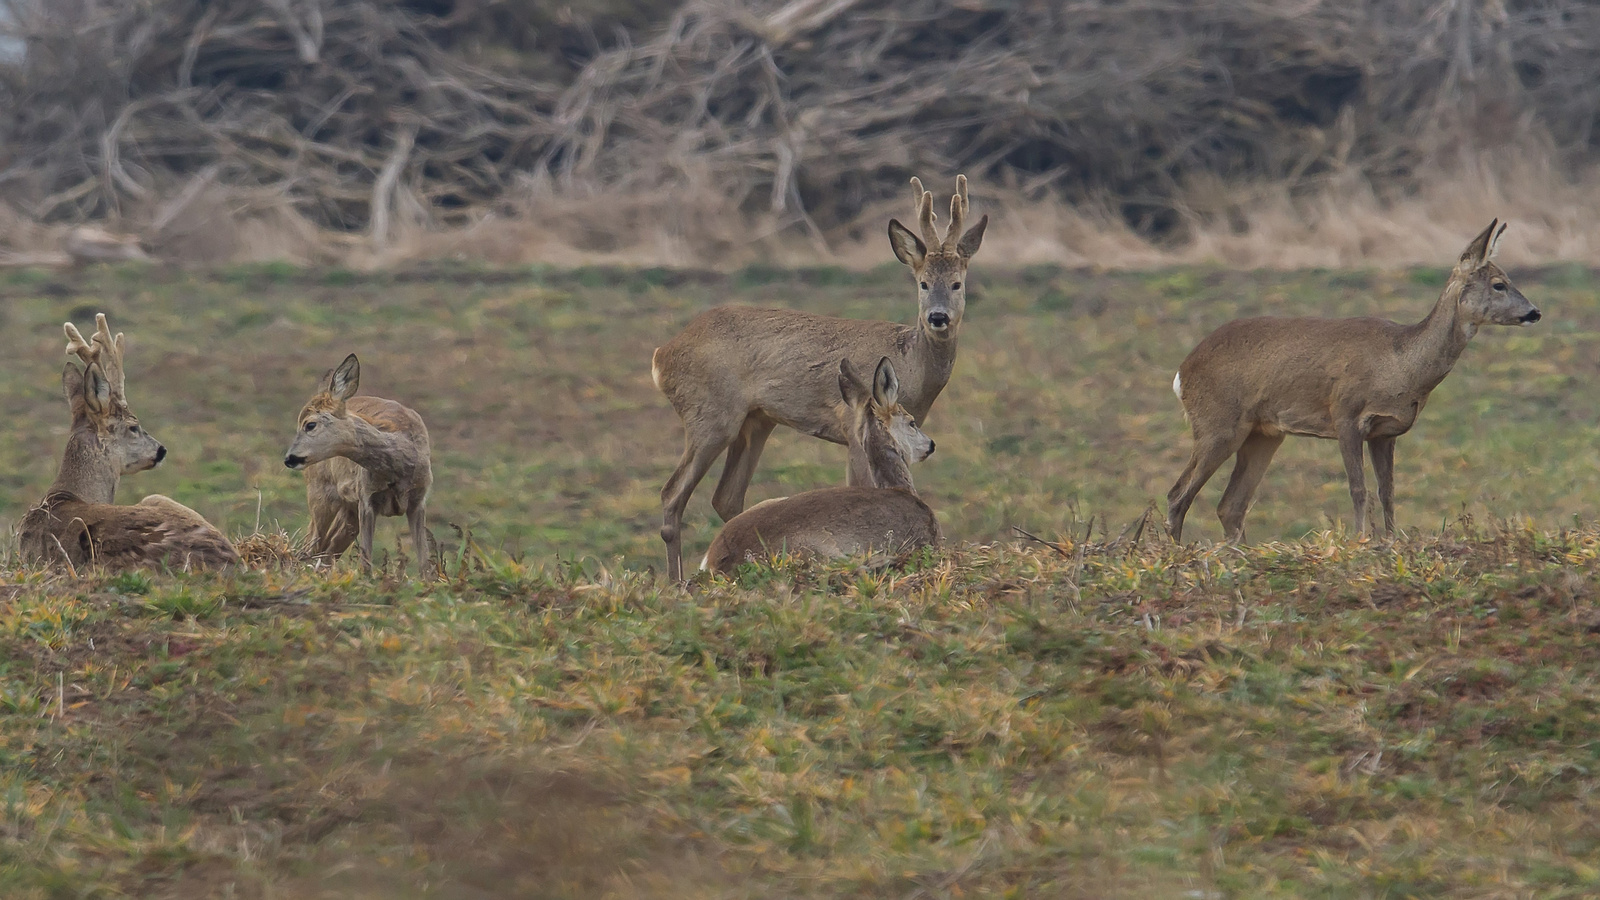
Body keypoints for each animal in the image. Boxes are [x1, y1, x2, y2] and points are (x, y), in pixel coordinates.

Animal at [280, 350, 432, 573]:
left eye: (310, 424)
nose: (289, 458)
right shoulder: (366, 497)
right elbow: (365, 561)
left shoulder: (418, 500)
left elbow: (425, 563)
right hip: (320, 493)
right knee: (311, 546)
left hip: (347, 511)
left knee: (327, 549)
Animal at [1171, 219, 1542, 538]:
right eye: (1499, 284)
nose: (1534, 312)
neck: (1399, 365)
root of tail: (1182, 372)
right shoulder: (1345, 415)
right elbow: (1358, 488)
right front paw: (1360, 538)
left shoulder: (1386, 431)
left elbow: (1387, 490)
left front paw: (1392, 539)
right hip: (1218, 423)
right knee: (1178, 495)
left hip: (1263, 433)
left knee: (1230, 505)